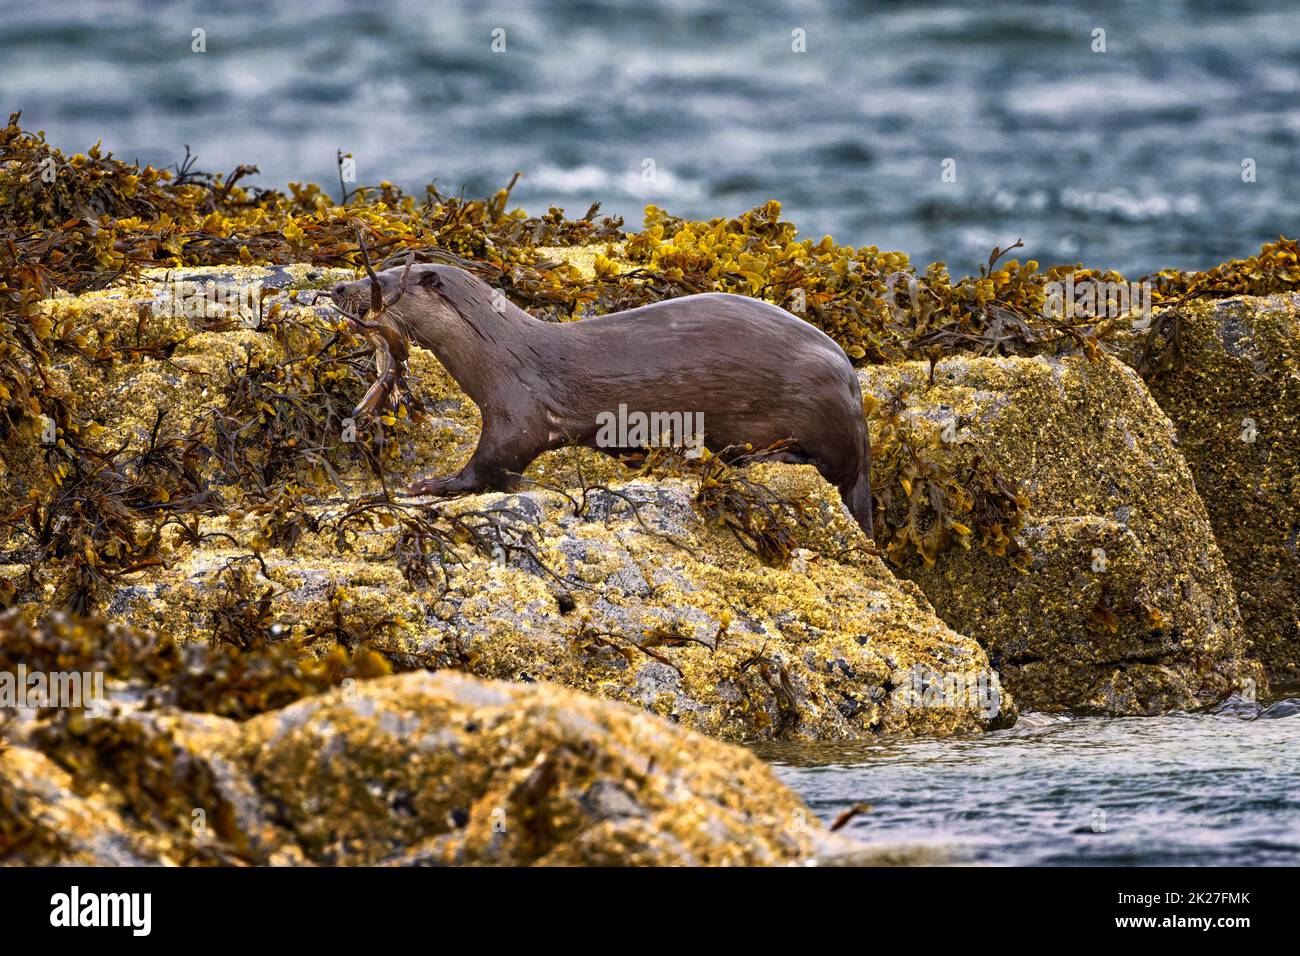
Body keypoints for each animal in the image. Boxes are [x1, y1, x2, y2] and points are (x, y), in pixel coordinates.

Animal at [331, 264, 874, 537]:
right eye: (373, 269)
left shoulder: (516, 413)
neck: (500, 352)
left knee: (835, 468)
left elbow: (491, 465)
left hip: (818, 405)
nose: (337, 286)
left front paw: (432, 484)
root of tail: (852, 383)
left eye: (380, 283)